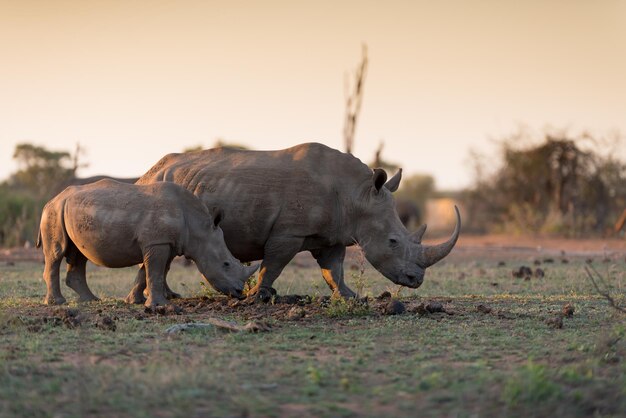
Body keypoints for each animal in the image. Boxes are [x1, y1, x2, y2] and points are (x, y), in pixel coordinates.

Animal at [36, 180, 256, 306]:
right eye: (226, 264)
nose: (240, 292)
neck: (198, 226)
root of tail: (51, 199)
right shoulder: (157, 243)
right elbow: (155, 272)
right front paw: (159, 306)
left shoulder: (165, 243)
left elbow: (148, 272)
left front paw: (136, 301)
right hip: (54, 212)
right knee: (57, 253)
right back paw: (57, 303)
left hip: (71, 210)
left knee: (78, 254)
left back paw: (90, 300)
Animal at [130, 142, 458, 302]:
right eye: (393, 241)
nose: (416, 280)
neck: (358, 195)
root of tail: (148, 171)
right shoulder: (288, 233)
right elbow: (273, 264)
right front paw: (256, 297)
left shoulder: (333, 234)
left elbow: (333, 269)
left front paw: (351, 297)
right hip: (155, 185)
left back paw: (158, 298)